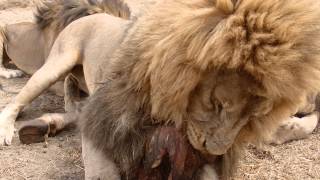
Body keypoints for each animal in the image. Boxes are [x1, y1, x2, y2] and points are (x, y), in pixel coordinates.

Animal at [0, 0, 320, 179]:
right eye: (217, 104)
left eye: (252, 118)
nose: (216, 150)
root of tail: (87, 15)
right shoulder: (103, 124)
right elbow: (103, 172)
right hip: (57, 63)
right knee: (15, 102)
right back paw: (10, 129)